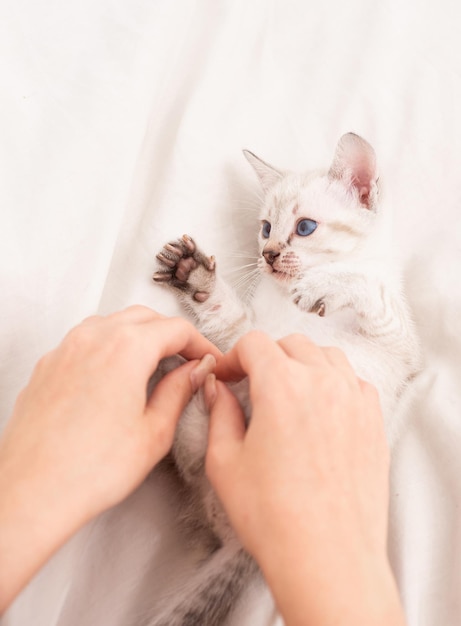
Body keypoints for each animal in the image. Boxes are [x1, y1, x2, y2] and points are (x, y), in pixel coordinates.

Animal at [151, 133, 420, 624]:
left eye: (305, 227)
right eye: (264, 228)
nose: (268, 255)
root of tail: (245, 545)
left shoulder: (401, 347)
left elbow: (368, 291)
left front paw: (327, 285)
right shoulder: (246, 335)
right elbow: (225, 317)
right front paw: (194, 274)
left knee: (193, 457)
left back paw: (188, 386)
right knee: (190, 458)